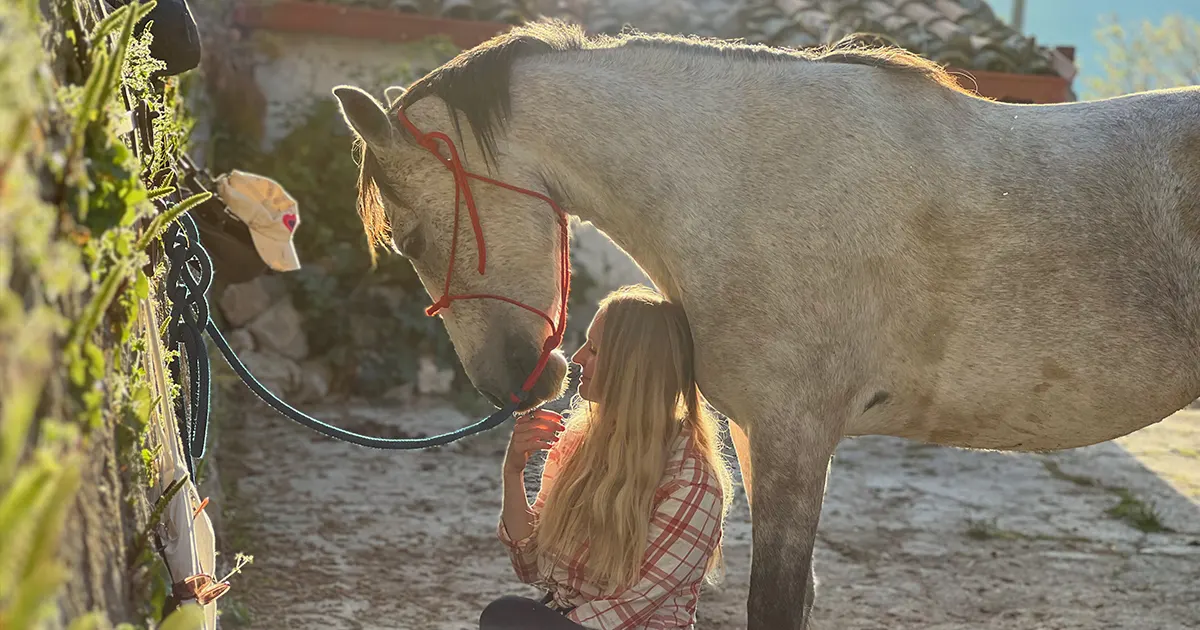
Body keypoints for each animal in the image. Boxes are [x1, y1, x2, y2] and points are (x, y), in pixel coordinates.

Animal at [333, 19, 1200, 628]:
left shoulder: (796, 439)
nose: (512, 385)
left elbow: (775, 603)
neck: (751, 183)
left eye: (409, 237)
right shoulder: (759, 439)